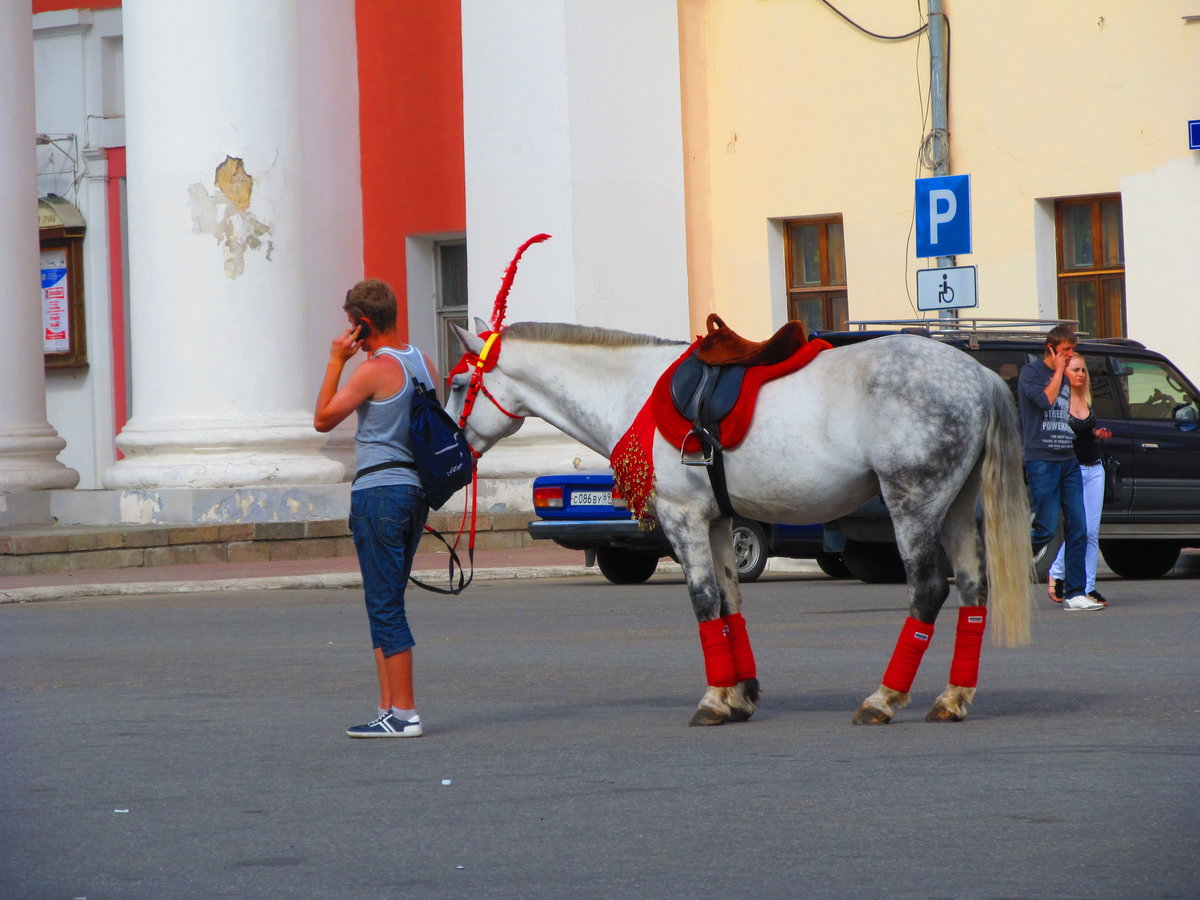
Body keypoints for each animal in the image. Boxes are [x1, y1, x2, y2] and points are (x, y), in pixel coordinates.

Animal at [446, 320, 1033, 726]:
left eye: (456, 384)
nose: (451, 446)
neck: (634, 390)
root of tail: (978, 375)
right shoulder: (719, 522)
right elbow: (730, 600)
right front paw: (740, 695)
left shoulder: (682, 518)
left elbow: (704, 600)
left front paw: (713, 700)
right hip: (954, 508)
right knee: (974, 589)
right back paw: (952, 698)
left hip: (913, 504)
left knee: (929, 588)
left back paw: (883, 699)